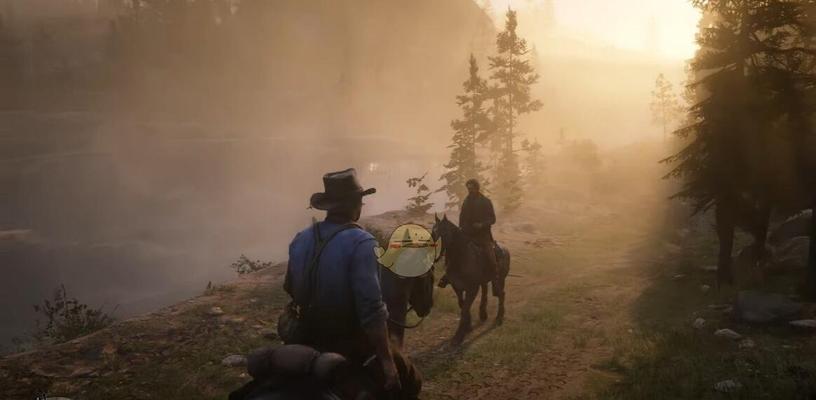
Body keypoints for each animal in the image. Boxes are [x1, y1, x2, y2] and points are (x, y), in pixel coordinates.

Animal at [430, 214, 506, 342]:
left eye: (444, 231)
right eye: (433, 231)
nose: (433, 241)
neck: (461, 259)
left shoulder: (472, 289)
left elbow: (465, 308)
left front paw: (459, 335)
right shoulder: (457, 287)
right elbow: (462, 305)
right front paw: (467, 326)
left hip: (499, 279)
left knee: (501, 294)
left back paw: (499, 318)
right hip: (485, 281)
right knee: (486, 292)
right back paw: (483, 314)